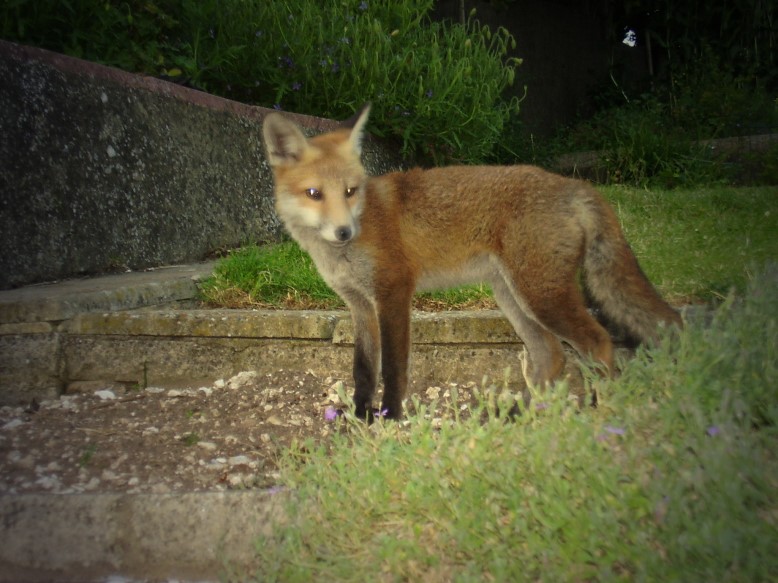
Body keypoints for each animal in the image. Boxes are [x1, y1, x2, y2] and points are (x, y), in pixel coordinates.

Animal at [260, 105, 680, 422]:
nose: (345, 231)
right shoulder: (360, 305)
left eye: (350, 191)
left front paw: (390, 417)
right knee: (552, 355)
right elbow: (363, 369)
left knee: (598, 342)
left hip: (541, 296)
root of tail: (575, 185)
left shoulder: (394, 294)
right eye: (314, 193)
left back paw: (599, 410)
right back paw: (523, 417)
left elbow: (393, 368)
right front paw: (361, 418)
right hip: (512, 297)